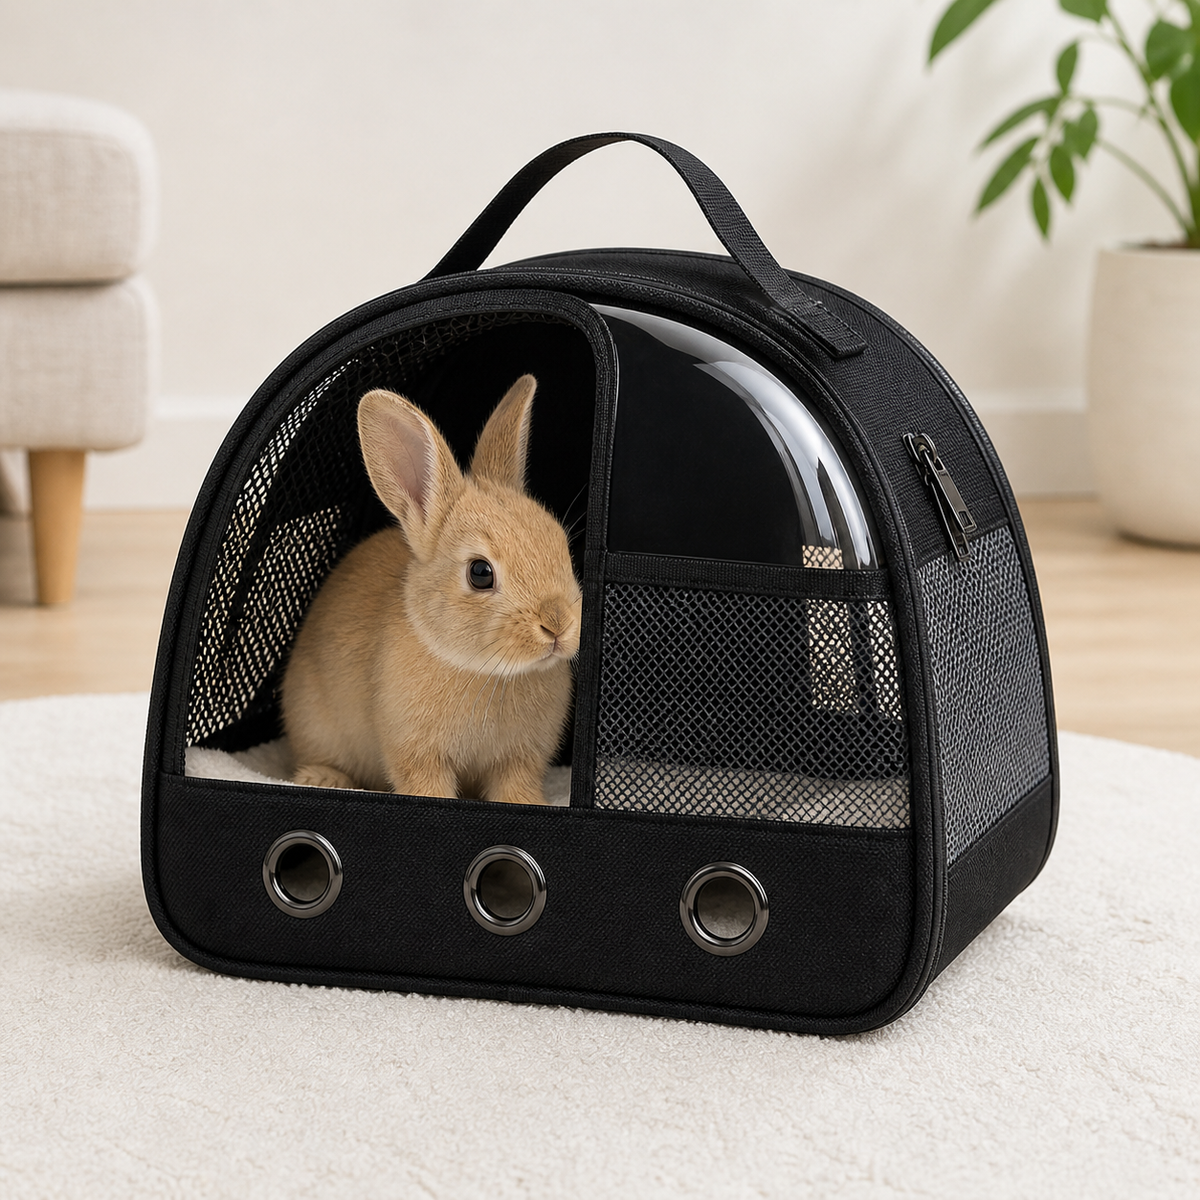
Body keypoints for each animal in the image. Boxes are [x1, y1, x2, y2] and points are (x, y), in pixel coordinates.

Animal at [280, 374, 582, 805]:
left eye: (562, 548)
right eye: (480, 573)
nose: (557, 624)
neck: (486, 670)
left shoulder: (518, 761)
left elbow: (516, 789)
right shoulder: (417, 755)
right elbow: (428, 787)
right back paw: (322, 778)